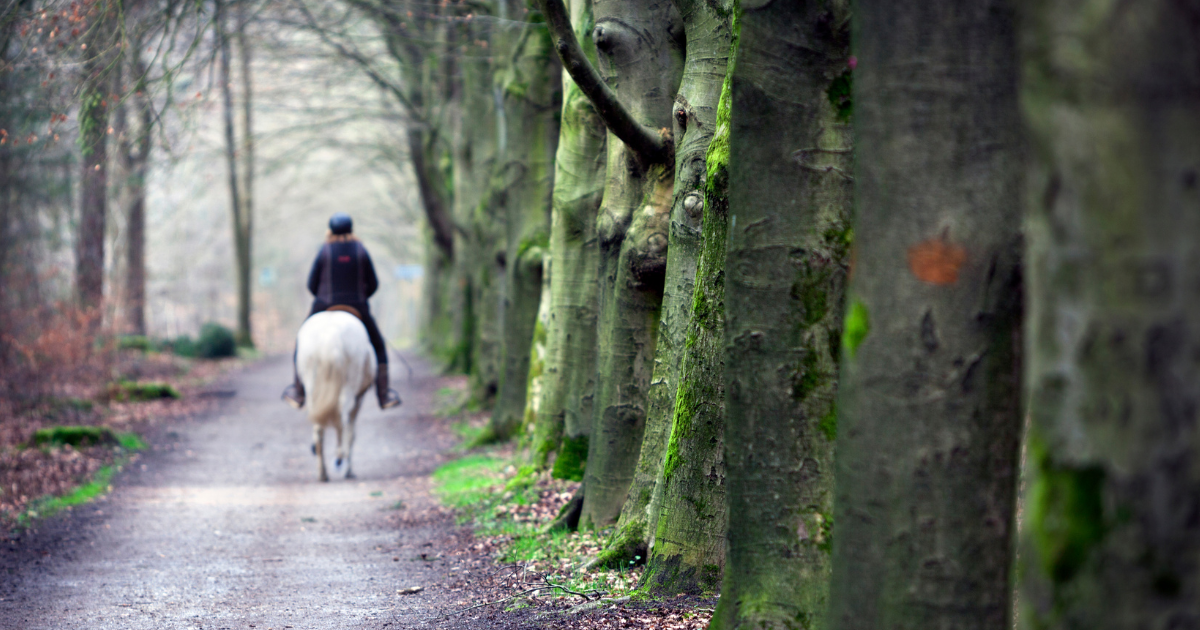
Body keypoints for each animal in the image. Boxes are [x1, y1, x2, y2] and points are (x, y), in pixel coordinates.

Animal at [295, 310, 375, 482]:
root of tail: (329, 335)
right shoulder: (359, 399)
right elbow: (351, 434)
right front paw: (349, 471)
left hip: (311, 386)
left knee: (319, 429)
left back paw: (322, 473)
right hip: (349, 386)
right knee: (342, 422)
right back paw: (340, 460)